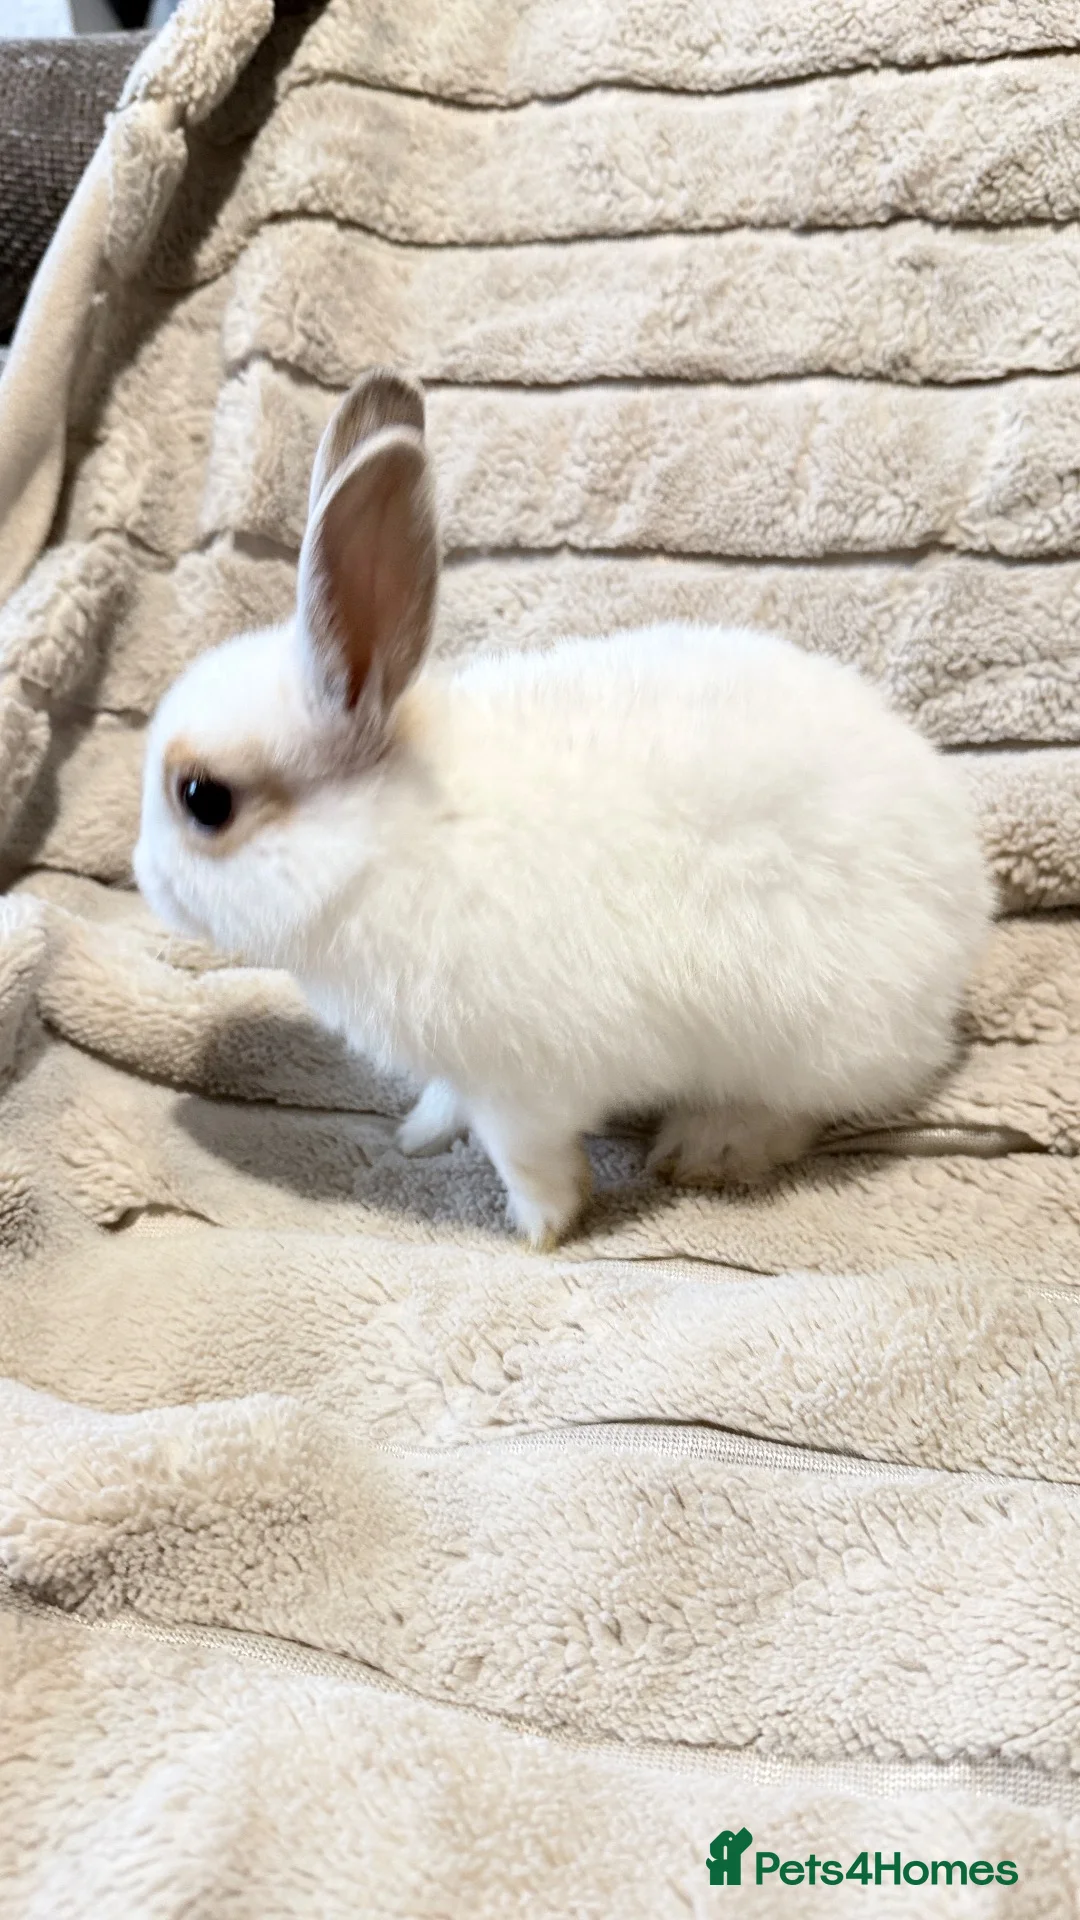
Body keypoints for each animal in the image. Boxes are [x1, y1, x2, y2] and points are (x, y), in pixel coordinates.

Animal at [134, 367, 993, 1248]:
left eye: (203, 800)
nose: (143, 877)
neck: (388, 837)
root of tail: (967, 898)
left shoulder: (522, 1081)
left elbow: (528, 1156)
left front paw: (543, 1229)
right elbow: (451, 1101)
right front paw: (420, 1134)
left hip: (809, 1034)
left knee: (800, 1107)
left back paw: (708, 1148)